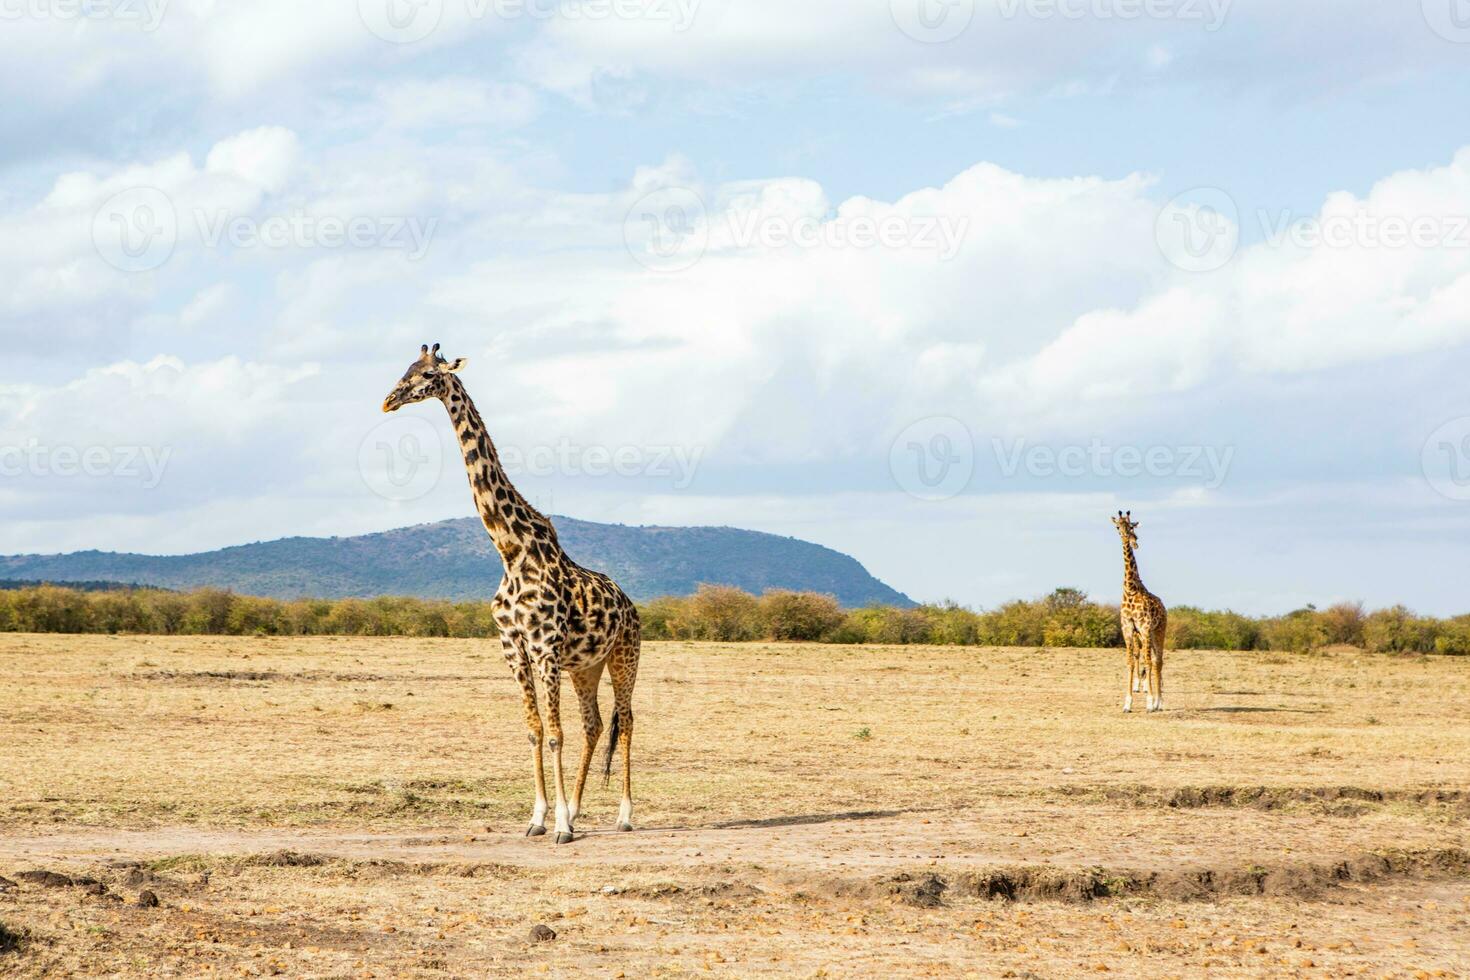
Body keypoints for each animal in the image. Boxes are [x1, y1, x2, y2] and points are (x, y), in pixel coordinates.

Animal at [382, 345, 640, 846]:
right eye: (404, 369)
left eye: (426, 375)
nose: (388, 401)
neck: (510, 550)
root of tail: (631, 605)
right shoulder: (513, 648)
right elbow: (535, 730)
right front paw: (541, 818)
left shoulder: (544, 648)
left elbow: (556, 733)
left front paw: (560, 827)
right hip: (586, 667)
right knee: (596, 724)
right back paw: (578, 809)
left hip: (624, 657)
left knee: (627, 721)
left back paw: (623, 815)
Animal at [1111, 514, 1170, 714]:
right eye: (1118, 527)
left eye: (1131, 527)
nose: (1126, 538)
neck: (1130, 589)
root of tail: (1164, 607)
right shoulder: (1128, 629)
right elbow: (1130, 661)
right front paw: (1127, 703)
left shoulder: (1144, 628)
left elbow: (1149, 663)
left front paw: (1150, 702)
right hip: (1149, 635)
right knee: (1152, 660)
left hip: (1159, 631)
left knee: (1158, 661)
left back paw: (1159, 702)